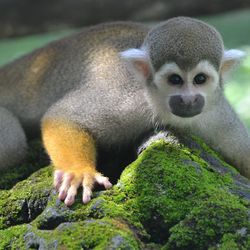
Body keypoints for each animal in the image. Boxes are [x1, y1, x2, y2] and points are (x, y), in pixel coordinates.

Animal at [0, 16, 249, 206]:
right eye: (175, 80)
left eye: (200, 79)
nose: (188, 100)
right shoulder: (130, 100)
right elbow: (62, 115)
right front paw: (79, 171)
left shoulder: (217, 116)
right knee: (12, 145)